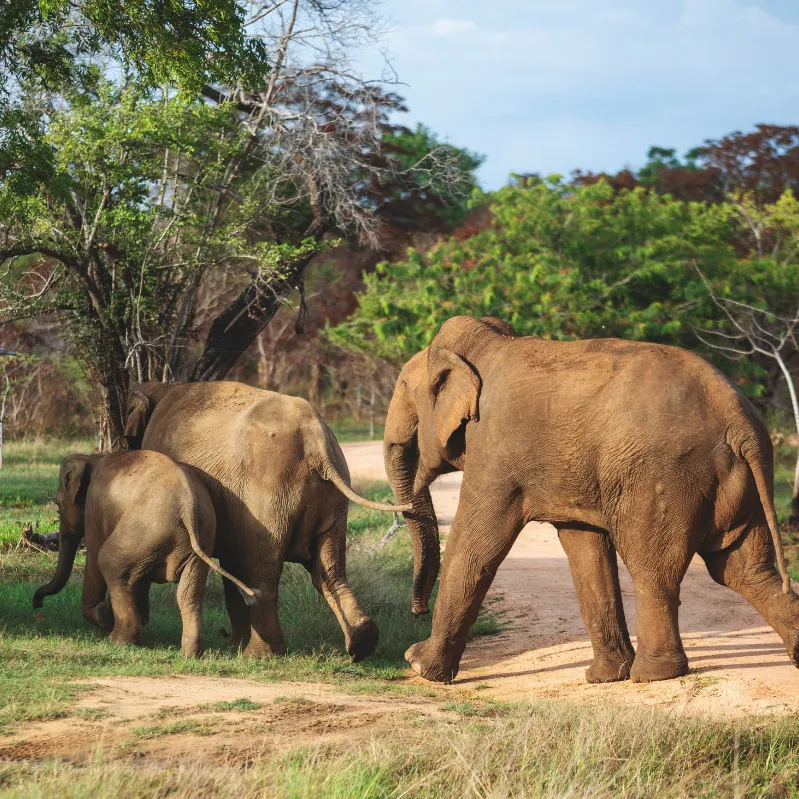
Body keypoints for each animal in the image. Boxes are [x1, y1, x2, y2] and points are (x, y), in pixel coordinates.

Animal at [33, 450, 256, 656]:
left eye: (58, 505)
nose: (37, 603)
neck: (92, 457)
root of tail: (188, 507)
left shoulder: (93, 512)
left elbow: (94, 557)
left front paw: (103, 615)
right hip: (200, 535)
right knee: (188, 592)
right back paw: (190, 654)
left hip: (144, 529)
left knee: (109, 562)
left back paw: (118, 640)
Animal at [127, 382, 410, 664]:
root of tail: (316, 439)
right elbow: (232, 563)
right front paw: (235, 643)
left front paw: (238, 646)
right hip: (332, 497)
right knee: (329, 569)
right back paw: (360, 645)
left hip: (266, 494)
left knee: (261, 570)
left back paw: (259, 655)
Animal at [384, 316, 796, 684]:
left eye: (403, 386)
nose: (415, 611)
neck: (486, 345)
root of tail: (739, 420)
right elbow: (584, 549)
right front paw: (603, 678)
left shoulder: (493, 448)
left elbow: (475, 545)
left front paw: (418, 665)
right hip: (732, 479)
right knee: (743, 569)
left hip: (664, 475)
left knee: (654, 568)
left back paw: (652, 677)